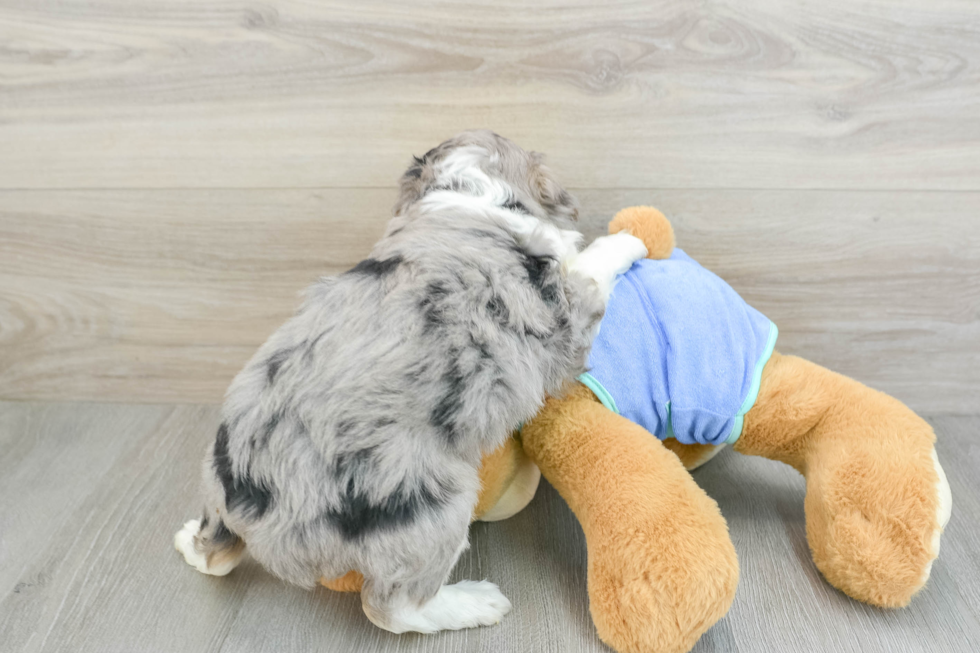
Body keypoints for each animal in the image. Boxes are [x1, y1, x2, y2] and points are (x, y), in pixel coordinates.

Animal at [174, 130, 652, 636]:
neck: (467, 194)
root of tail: (245, 504)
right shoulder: (565, 312)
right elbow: (591, 265)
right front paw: (629, 238)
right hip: (433, 505)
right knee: (389, 609)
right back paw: (476, 602)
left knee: (216, 557)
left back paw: (189, 541)